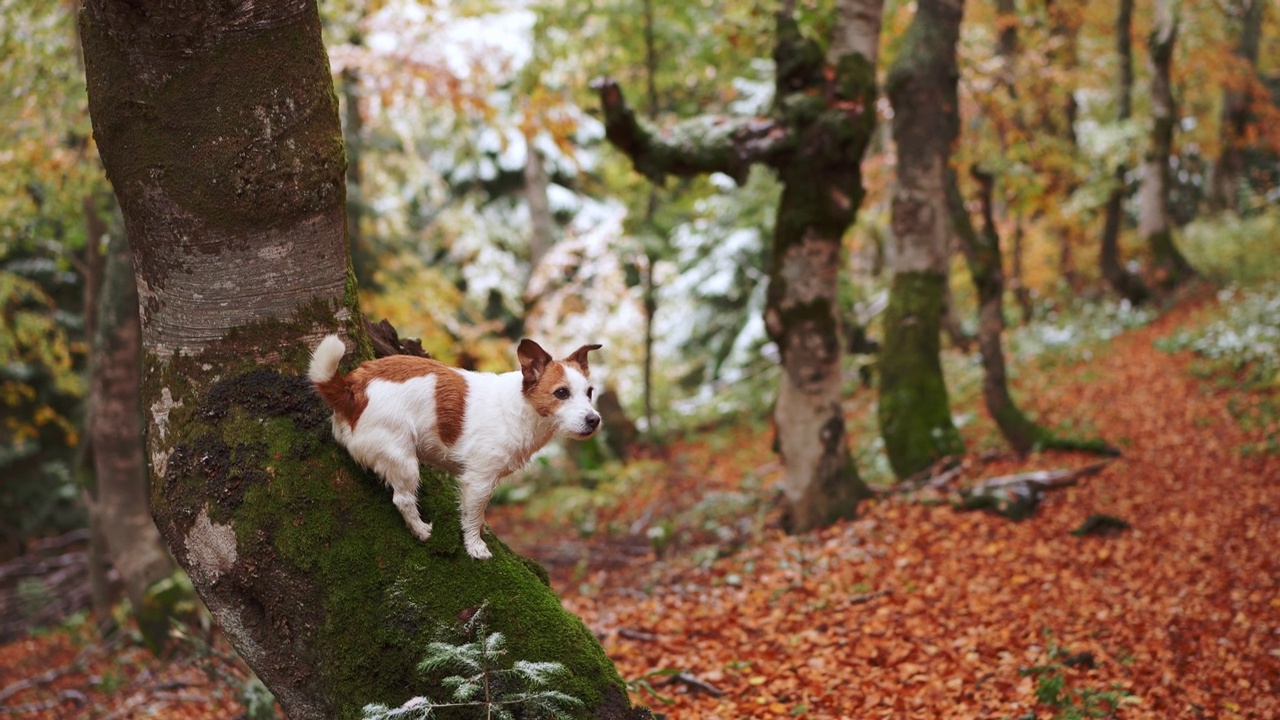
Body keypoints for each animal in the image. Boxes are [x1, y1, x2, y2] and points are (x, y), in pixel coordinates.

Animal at [312, 333, 606, 558]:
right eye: (561, 393)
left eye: (590, 392)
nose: (594, 420)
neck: (519, 408)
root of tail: (351, 389)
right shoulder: (478, 480)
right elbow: (473, 514)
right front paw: (475, 545)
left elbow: (477, 511)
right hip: (403, 459)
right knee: (403, 499)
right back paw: (420, 530)